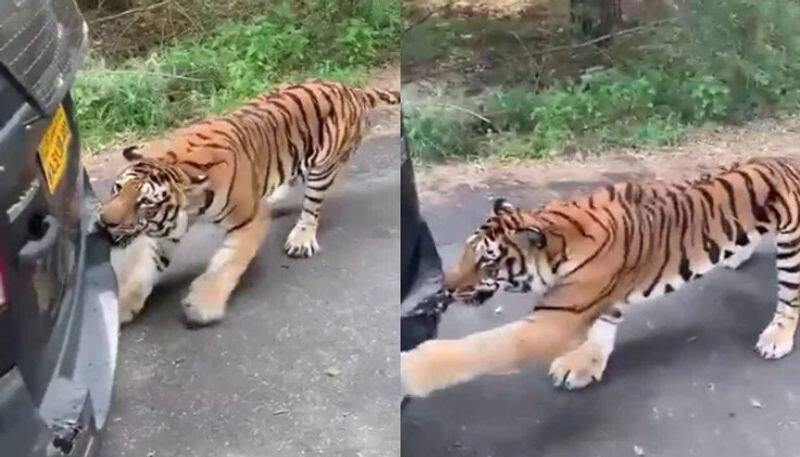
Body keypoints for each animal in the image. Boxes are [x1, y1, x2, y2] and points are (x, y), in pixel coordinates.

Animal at [98, 80, 400, 326]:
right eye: (117, 188)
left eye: (144, 203)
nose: (104, 221)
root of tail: (350, 88)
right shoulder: (166, 231)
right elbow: (142, 270)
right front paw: (122, 307)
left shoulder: (249, 220)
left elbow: (226, 264)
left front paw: (203, 305)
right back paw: (274, 198)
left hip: (322, 169)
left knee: (312, 208)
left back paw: (301, 238)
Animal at [404, 156, 800, 396]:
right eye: (466, 252)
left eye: (487, 262)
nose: (447, 287)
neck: (557, 232)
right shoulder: (602, 296)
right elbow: (603, 328)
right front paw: (584, 364)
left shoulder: (556, 319)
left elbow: (483, 347)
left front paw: (412, 371)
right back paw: (738, 257)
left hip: (791, 244)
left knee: (790, 299)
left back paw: (776, 338)